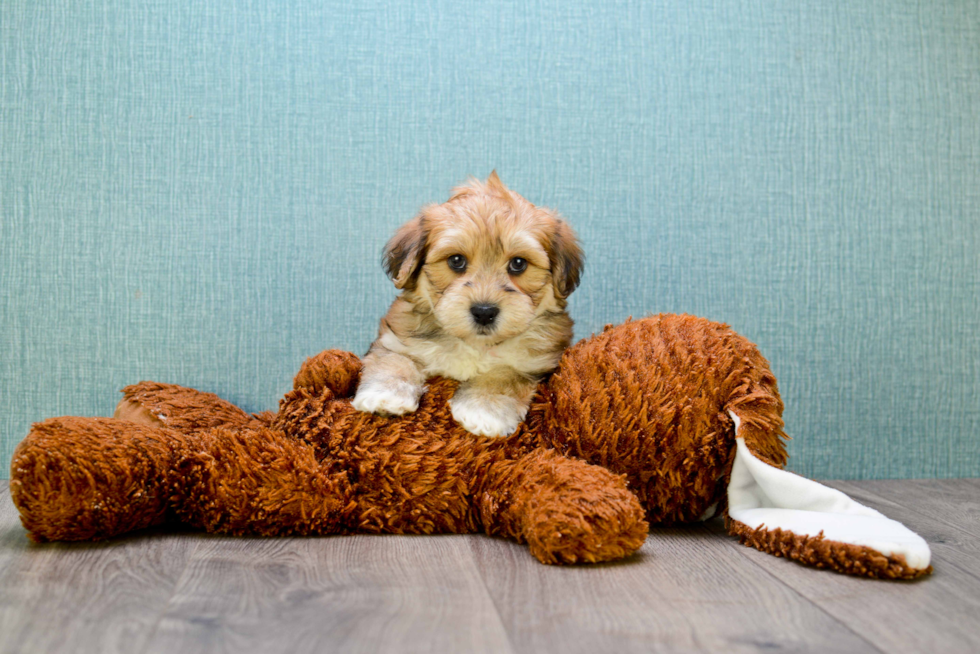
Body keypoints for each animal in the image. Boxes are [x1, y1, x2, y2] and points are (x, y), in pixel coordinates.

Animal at [352, 174, 580, 438]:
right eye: (456, 260)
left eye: (518, 264)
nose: (484, 312)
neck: (473, 344)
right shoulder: (397, 339)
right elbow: (395, 360)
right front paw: (384, 396)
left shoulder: (533, 362)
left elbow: (503, 373)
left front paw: (482, 410)